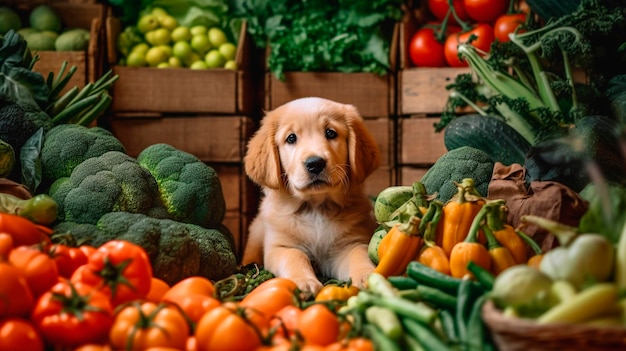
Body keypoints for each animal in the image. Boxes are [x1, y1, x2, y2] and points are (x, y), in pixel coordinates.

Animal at [241, 97, 380, 296]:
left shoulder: (349, 243)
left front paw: (367, 276)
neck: (317, 208)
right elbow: (294, 255)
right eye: (291, 138)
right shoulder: (280, 246)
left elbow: (358, 254)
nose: (315, 163)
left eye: (330, 133)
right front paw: (303, 281)